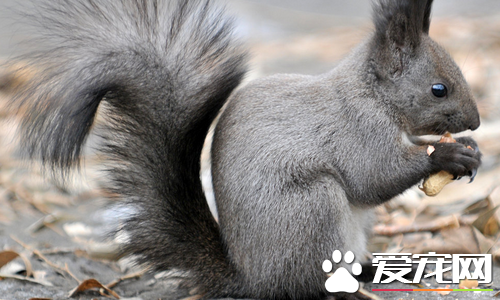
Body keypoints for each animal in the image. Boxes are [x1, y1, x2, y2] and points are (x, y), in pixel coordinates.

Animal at [8, 0, 480, 300]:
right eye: (438, 89)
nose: (476, 122)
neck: (373, 96)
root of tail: (251, 278)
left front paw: (470, 150)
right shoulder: (357, 129)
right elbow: (374, 178)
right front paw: (448, 156)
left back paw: (373, 270)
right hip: (312, 208)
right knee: (303, 285)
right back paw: (340, 291)